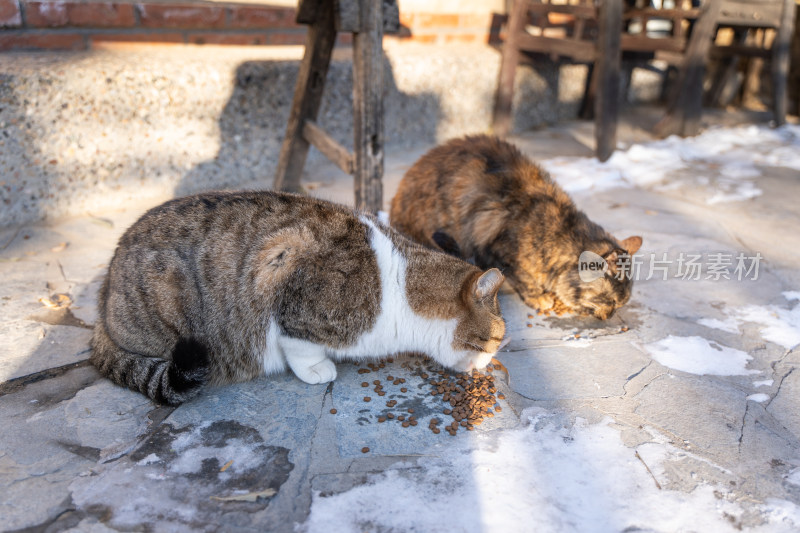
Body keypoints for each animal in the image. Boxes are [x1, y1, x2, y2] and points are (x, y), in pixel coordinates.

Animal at [90, 190, 504, 404]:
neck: (399, 286)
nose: (489, 365)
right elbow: (299, 346)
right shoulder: (286, 275)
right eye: (496, 340)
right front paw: (317, 369)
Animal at [390, 136, 644, 320]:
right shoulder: (497, 249)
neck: (558, 231)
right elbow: (522, 277)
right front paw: (539, 297)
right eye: (611, 301)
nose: (610, 316)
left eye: (620, 304)